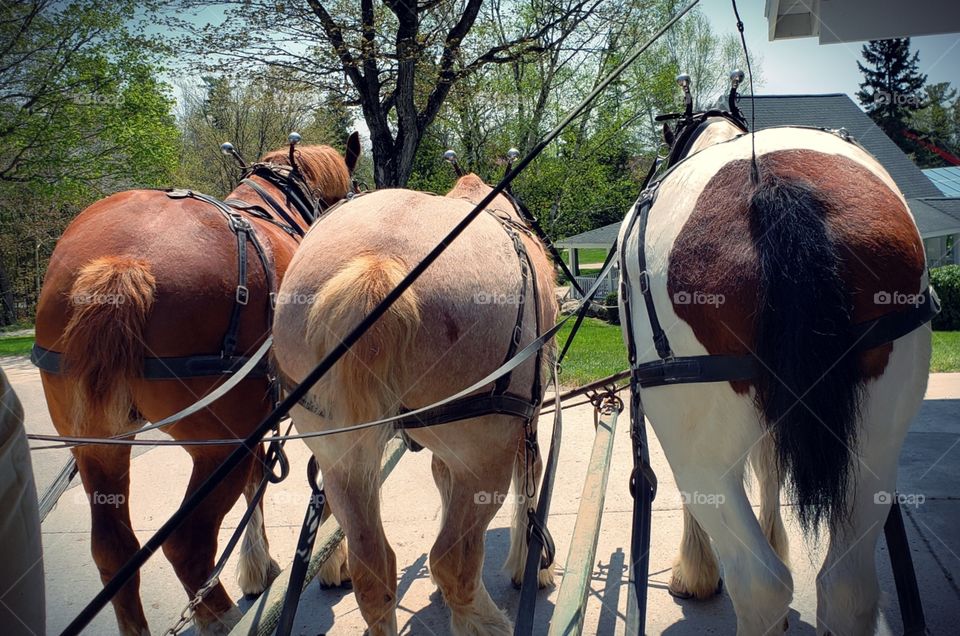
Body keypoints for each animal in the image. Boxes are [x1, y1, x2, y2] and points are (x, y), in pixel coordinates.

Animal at [34, 134, 361, 635]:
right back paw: (220, 616)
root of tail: (123, 263)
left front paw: (258, 568)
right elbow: (317, 483)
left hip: (98, 444)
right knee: (187, 545)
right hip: (218, 445)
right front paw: (332, 562)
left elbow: (257, 485)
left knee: (113, 551)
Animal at [272, 173, 557, 635]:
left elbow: (441, 474)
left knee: (374, 572)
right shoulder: (523, 417)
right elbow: (529, 475)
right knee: (453, 563)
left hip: (338, 454)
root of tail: (378, 264)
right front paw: (530, 567)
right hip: (484, 453)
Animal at [619, 115, 932, 634]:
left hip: (699, 451)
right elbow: (771, 466)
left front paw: (695, 572)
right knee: (847, 585)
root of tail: (775, 186)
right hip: (877, 439)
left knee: (761, 584)